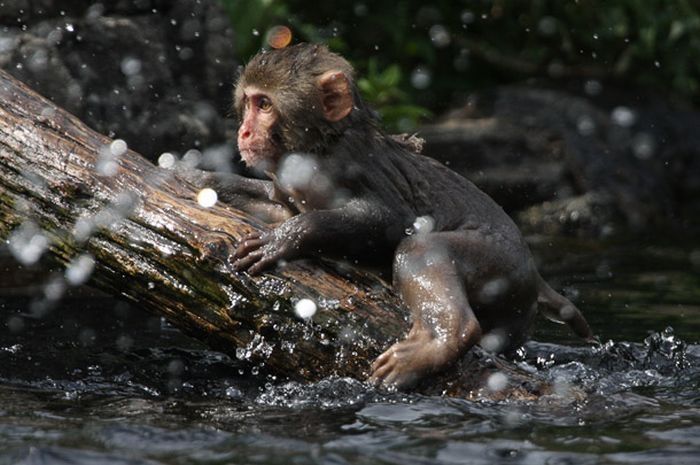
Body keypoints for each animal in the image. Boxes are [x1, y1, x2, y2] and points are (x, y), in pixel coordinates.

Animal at [183, 43, 592, 388]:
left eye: (265, 104)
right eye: (248, 102)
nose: (244, 131)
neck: (320, 143)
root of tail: (535, 275)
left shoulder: (342, 167)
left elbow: (387, 223)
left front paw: (285, 237)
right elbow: (274, 204)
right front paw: (201, 181)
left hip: (501, 263)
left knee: (419, 250)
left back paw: (442, 340)